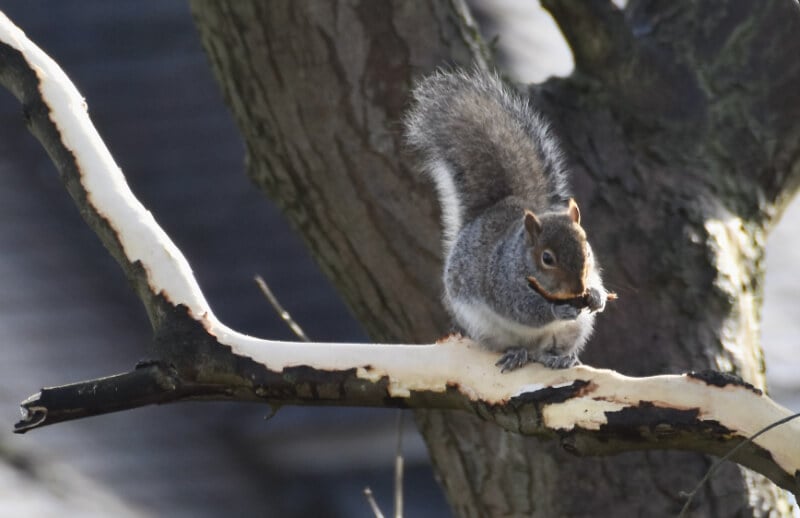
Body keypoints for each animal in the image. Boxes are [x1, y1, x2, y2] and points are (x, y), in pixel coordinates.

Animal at [405, 69, 610, 371]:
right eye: (547, 258)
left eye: (587, 248)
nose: (578, 289)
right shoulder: (502, 281)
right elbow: (523, 309)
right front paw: (556, 309)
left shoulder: (592, 271)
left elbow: (599, 284)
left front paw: (596, 296)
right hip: (484, 327)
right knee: (513, 346)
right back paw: (517, 353)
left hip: (573, 331)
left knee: (548, 349)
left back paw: (559, 357)